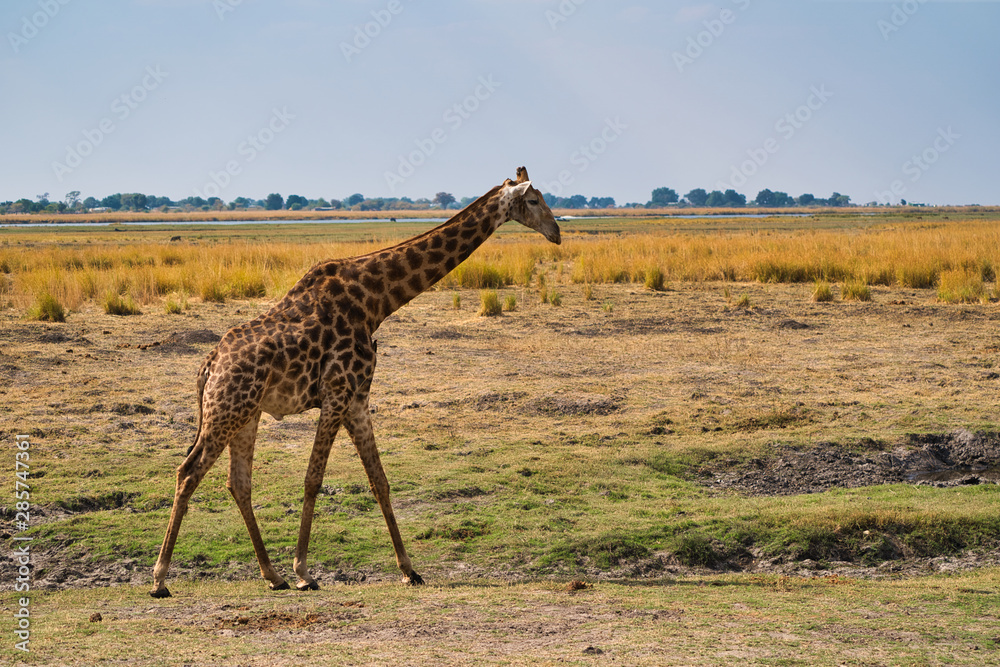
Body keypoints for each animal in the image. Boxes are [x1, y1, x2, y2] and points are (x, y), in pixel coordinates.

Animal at [150, 167, 560, 597]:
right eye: (534, 200)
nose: (557, 233)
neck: (375, 301)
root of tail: (209, 365)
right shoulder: (337, 394)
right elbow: (313, 479)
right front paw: (304, 571)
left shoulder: (358, 399)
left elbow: (379, 480)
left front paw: (409, 569)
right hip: (226, 410)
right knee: (188, 472)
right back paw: (161, 578)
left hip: (246, 414)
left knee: (238, 482)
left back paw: (272, 575)